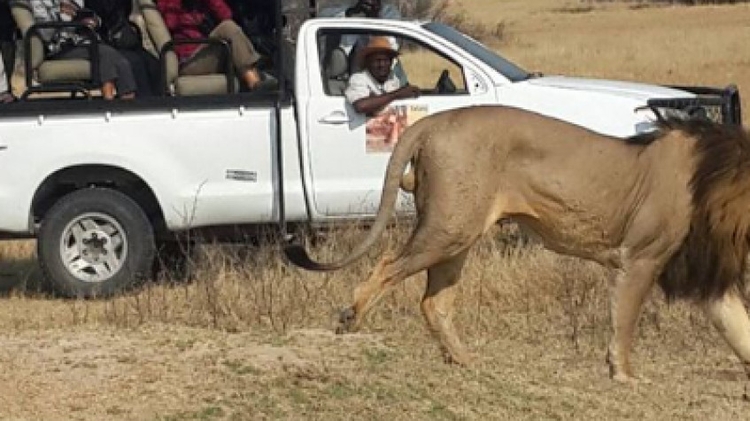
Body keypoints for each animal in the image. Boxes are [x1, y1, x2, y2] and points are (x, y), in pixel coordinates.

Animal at [286, 106, 750, 384]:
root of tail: (432, 121)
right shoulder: (640, 258)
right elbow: (625, 320)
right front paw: (624, 375)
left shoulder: (707, 274)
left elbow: (740, 327)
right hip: (449, 229)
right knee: (387, 263)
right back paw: (350, 320)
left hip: (459, 235)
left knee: (433, 301)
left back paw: (464, 360)